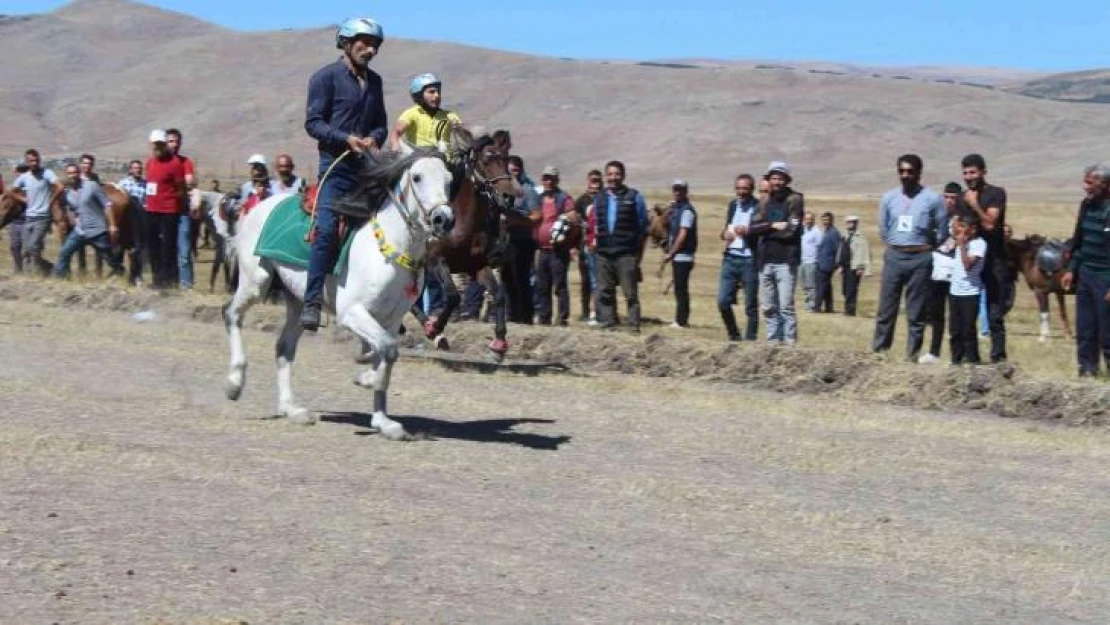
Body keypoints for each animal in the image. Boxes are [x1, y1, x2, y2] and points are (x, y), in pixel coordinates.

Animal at [222, 146, 455, 439]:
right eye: (417, 177)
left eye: (449, 179)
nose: (443, 219)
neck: (387, 251)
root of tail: (257, 206)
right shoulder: (351, 312)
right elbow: (387, 350)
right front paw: (366, 379)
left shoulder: (390, 320)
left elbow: (384, 352)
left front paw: (383, 421)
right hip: (257, 281)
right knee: (231, 314)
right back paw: (234, 383)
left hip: (298, 300)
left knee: (284, 347)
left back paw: (292, 410)